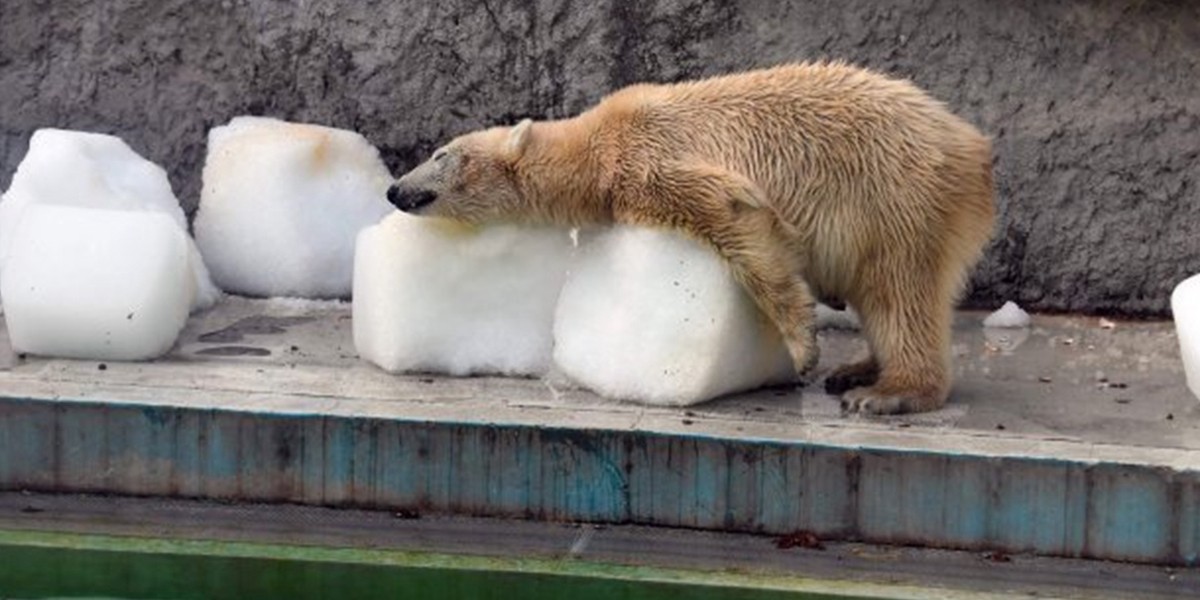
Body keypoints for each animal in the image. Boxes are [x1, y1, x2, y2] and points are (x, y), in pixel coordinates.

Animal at [387, 61, 995, 415]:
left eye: (441, 154)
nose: (395, 188)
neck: (597, 144)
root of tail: (973, 147)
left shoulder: (653, 159)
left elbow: (734, 220)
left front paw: (804, 349)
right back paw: (861, 368)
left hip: (895, 193)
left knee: (900, 291)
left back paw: (886, 393)